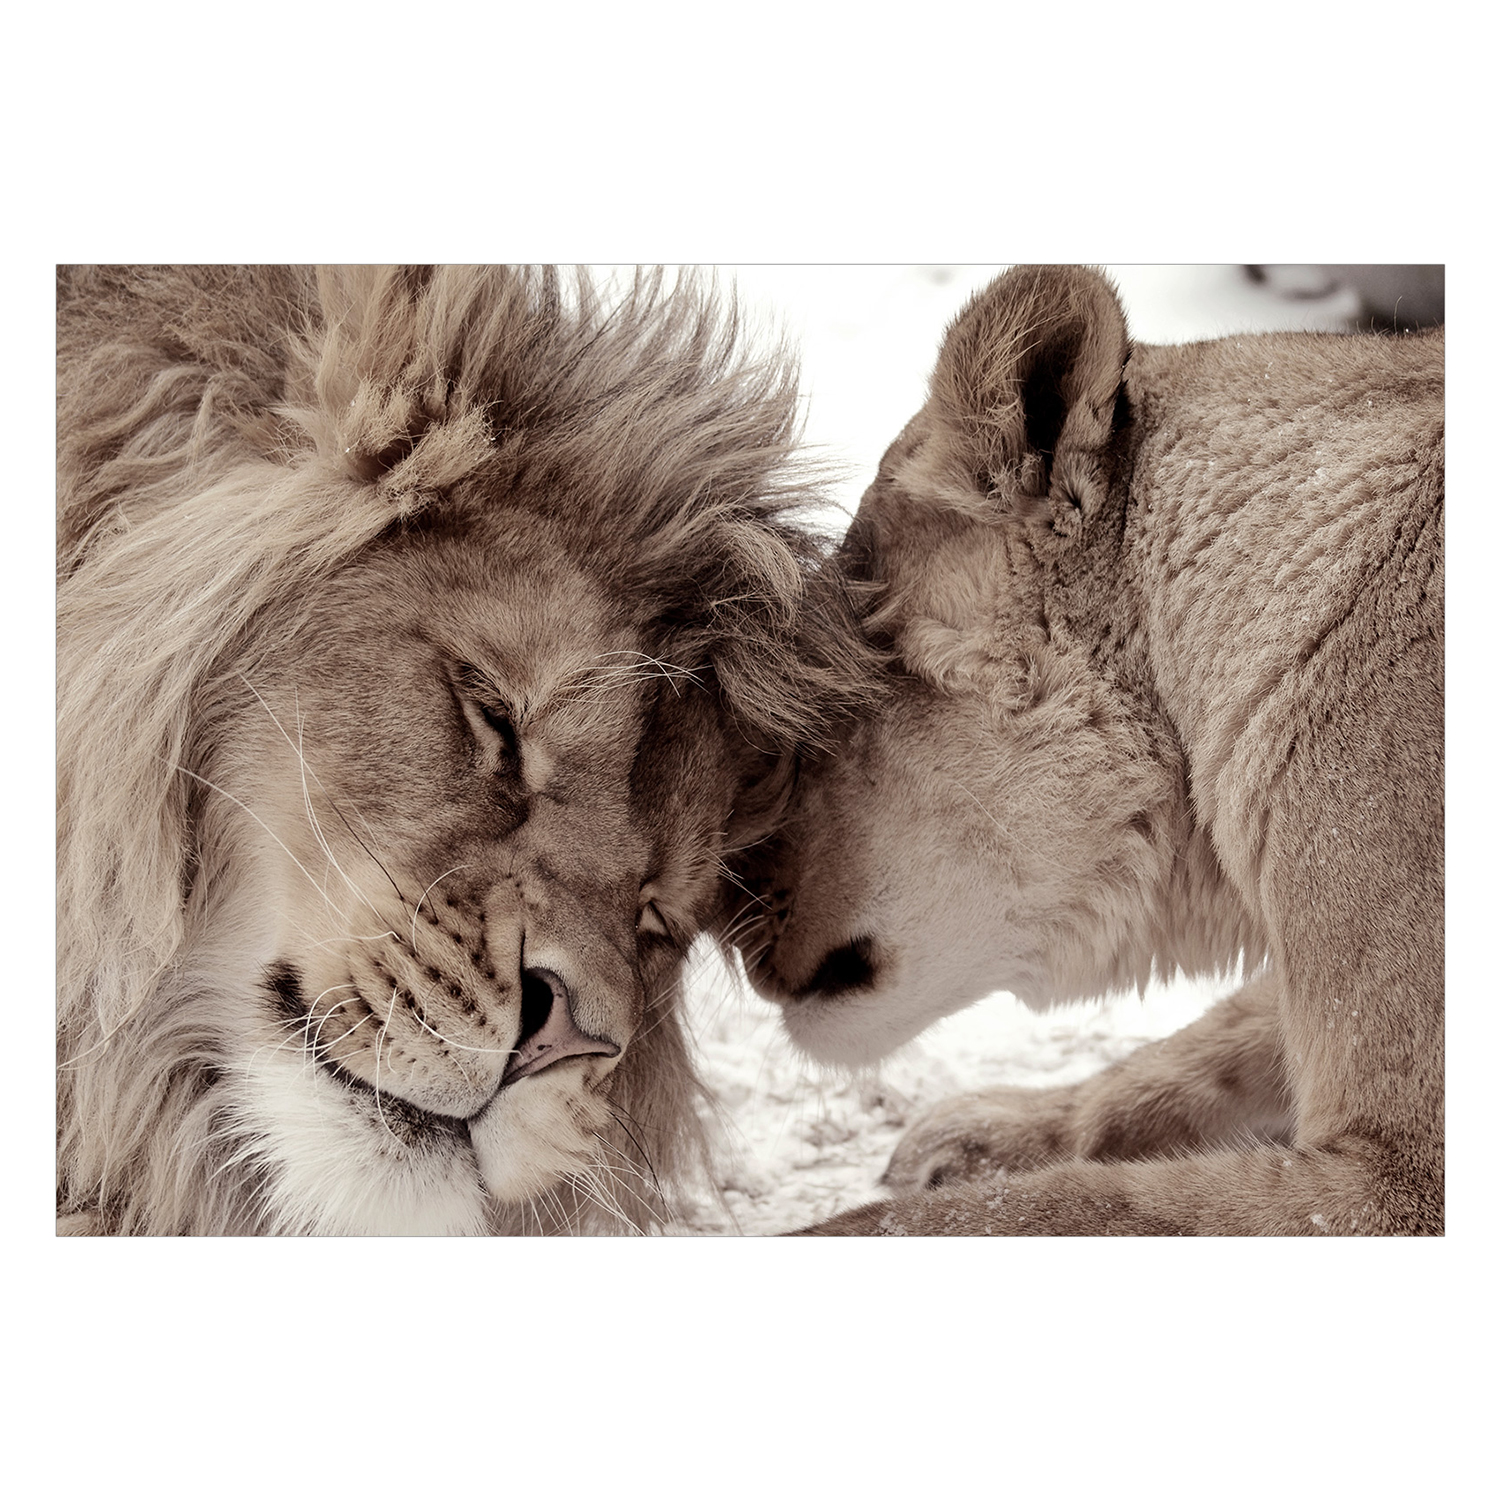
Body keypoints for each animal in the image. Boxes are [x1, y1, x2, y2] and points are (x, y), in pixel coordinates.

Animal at [736, 264, 1443, 1235]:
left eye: (820, 709)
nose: (722, 914)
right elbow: (1199, 1051)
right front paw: (984, 1132)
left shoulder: (1402, 1180)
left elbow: (1059, 1208)